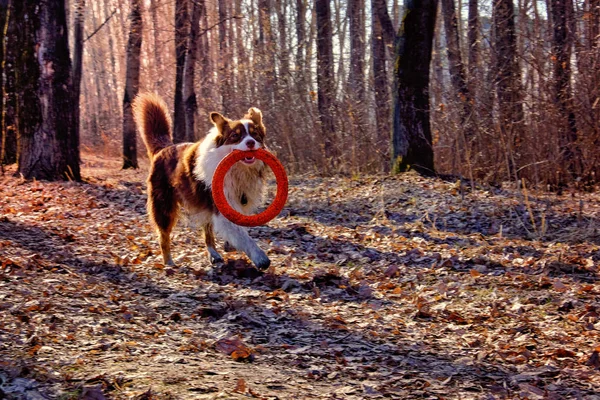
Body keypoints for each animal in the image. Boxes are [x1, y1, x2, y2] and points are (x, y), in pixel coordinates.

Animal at [135, 92, 270, 270]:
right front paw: (260, 257)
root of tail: (164, 148)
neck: (237, 170)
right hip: (164, 206)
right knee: (163, 236)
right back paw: (169, 262)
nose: (250, 142)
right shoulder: (220, 206)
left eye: (255, 134)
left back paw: (214, 254)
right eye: (235, 136)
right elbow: (242, 235)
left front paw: (230, 245)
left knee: (207, 231)